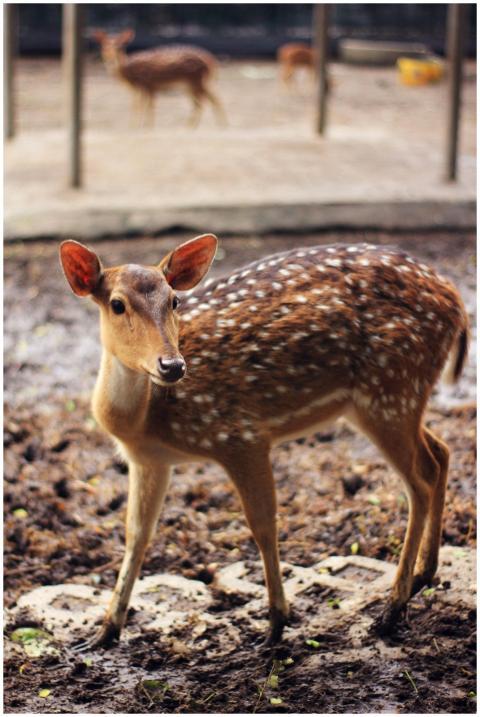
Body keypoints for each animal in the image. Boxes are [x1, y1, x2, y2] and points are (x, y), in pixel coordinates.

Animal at [59, 235, 469, 650]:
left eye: (174, 300)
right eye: (117, 304)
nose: (172, 366)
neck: (145, 419)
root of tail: (455, 300)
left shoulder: (241, 435)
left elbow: (262, 524)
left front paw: (276, 624)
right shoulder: (149, 460)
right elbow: (136, 535)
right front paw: (103, 632)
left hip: (391, 388)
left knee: (420, 479)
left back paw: (392, 608)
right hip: (387, 400)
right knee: (441, 453)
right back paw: (422, 575)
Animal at [92, 29, 226, 127]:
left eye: (120, 47)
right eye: (103, 46)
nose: (110, 57)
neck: (130, 75)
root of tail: (211, 61)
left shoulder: (147, 85)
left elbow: (145, 108)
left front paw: (143, 127)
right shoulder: (145, 88)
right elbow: (138, 106)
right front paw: (137, 127)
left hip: (196, 81)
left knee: (209, 100)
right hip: (192, 84)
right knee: (204, 101)